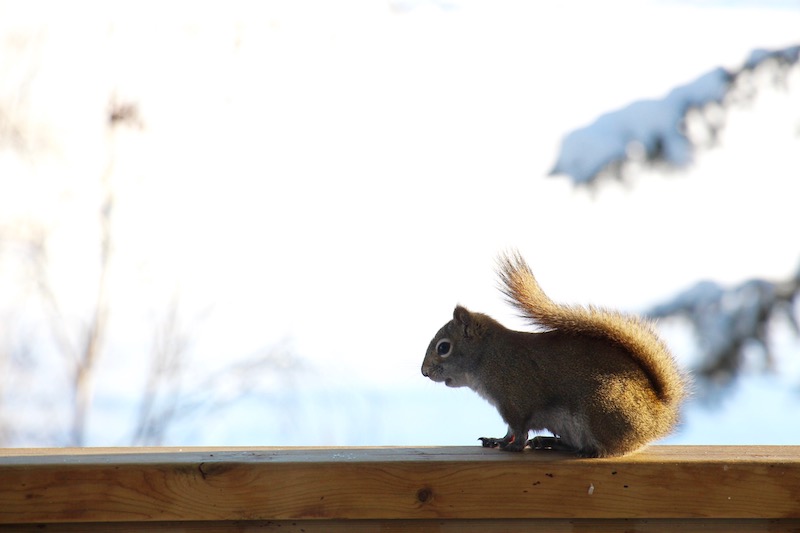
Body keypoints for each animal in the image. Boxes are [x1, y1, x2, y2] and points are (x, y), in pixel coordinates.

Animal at [418, 250, 688, 458]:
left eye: (443, 347)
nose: (424, 372)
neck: (489, 357)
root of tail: (658, 417)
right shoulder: (508, 406)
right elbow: (511, 430)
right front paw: (498, 440)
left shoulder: (516, 399)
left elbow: (519, 429)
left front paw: (512, 446)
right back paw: (550, 442)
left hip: (602, 407)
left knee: (610, 447)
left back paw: (587, 450)